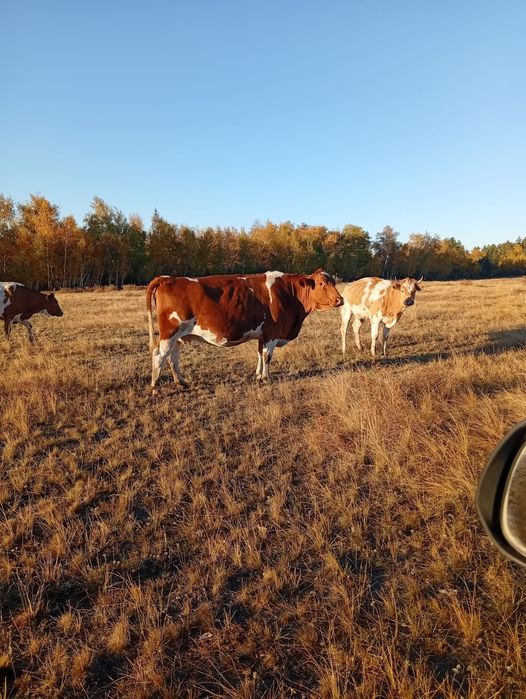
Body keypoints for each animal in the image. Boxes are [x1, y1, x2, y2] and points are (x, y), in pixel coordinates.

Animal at [147, 269, 343, 390]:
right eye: (321, 283)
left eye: (333, 282)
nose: (339, 300)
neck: (289, 294)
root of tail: (167, 278)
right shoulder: (272, 334)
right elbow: (267, 356)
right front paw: (266, 378)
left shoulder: (263, 335)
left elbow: (259, 354)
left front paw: (257, 375)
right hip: (169, 333)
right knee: (159, 355)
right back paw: (155, 387)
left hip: (178, 336)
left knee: (172, 358)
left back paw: (181, 382)